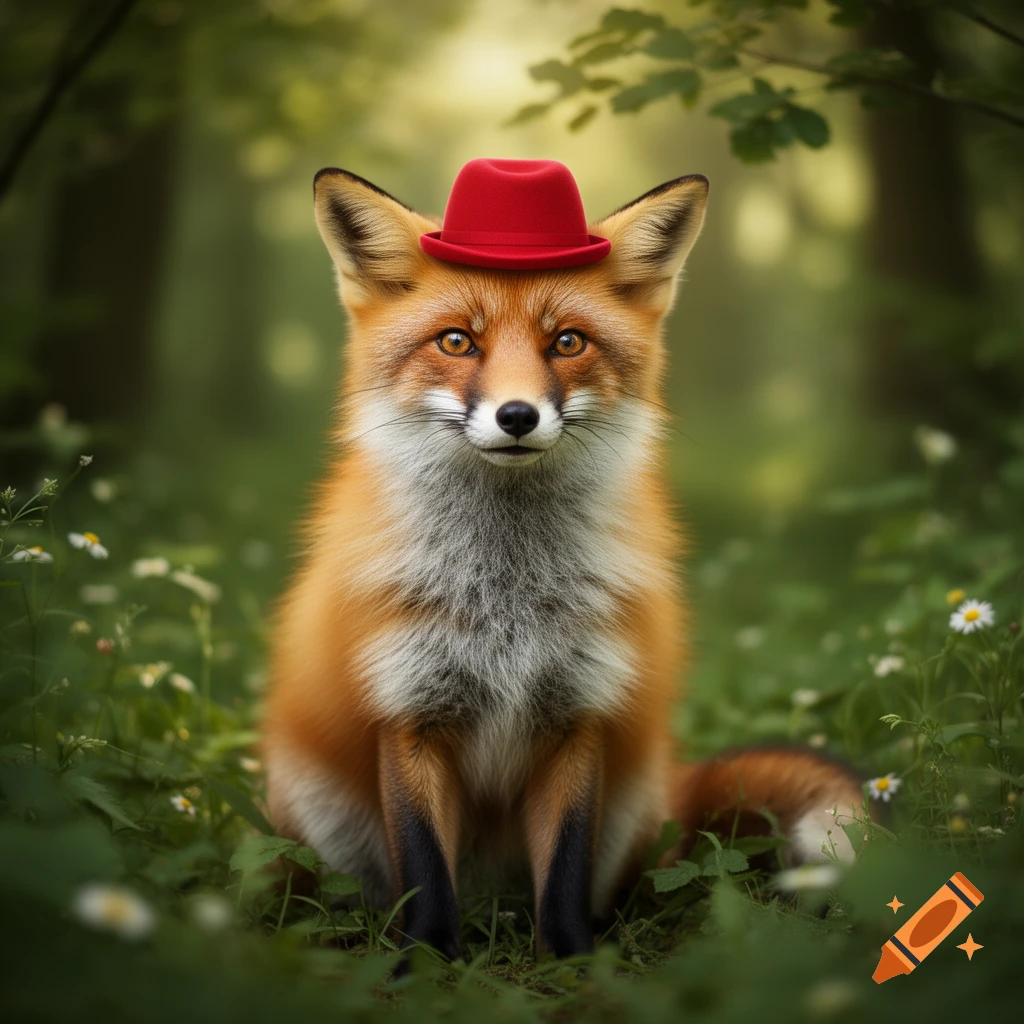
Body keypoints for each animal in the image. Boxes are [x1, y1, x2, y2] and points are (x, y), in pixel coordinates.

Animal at [263, 161, 866, 963]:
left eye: (568, 342)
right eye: (457, 342)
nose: (517, 415)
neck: (505, 595)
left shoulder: (579, 713)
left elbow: (565, 871)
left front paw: (578, 962)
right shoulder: (409, 712)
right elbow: (425, 871)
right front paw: (425, 963)